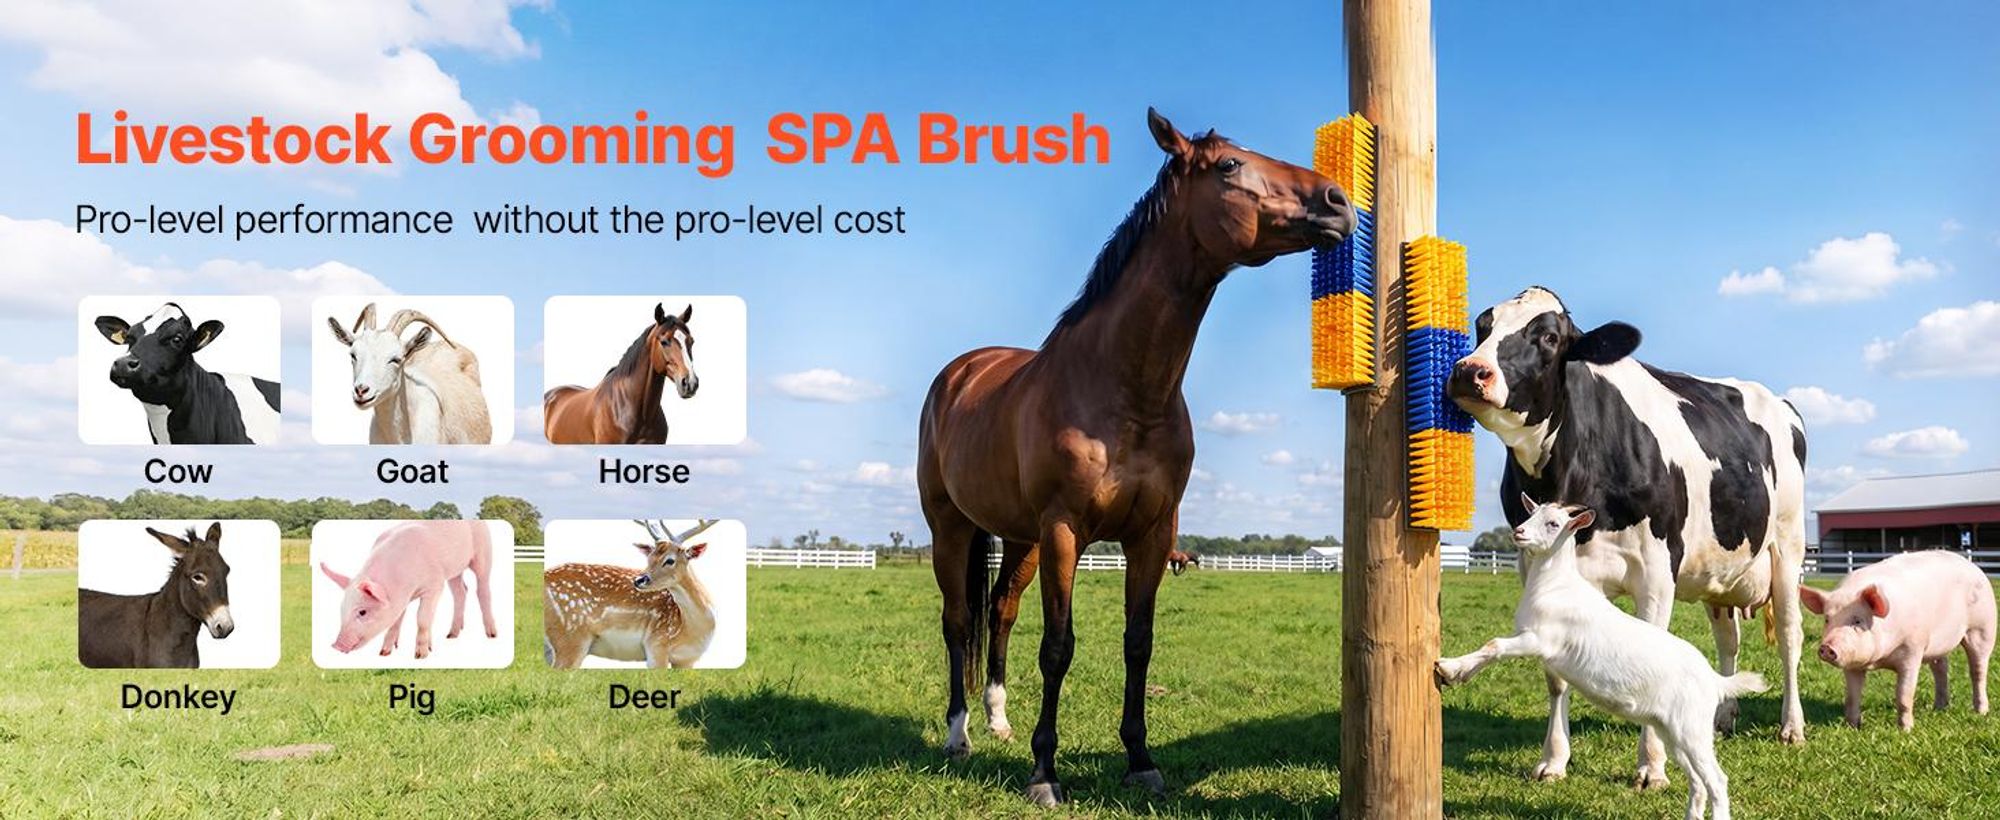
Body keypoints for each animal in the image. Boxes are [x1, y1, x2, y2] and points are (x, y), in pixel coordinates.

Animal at [919, 108, 1353, 805]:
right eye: (1230, 164)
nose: (1339, 203)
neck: (1123, 391)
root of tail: (959, 373)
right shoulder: (1065, 530)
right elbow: (1059, 646)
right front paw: (1045, 774)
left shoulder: (1152, 533)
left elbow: (1138, 643)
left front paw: (1141, 760)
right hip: (951, 527)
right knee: (959, 622)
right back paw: (958, 736)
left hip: (1019, 539)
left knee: (1001, 614)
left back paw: (997, 720)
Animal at [1435, 495, 1768, 820]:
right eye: (1532, 513)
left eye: (1553, 523)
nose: (1519, 532)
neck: (1557, 585)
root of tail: (1714, 680)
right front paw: (1455, 670)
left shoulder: (1540, 640)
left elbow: (1495, 645)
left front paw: (1451, 668)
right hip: (1673, 731)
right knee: (1697, 781)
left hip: (1692, 728)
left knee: (1717, 779)